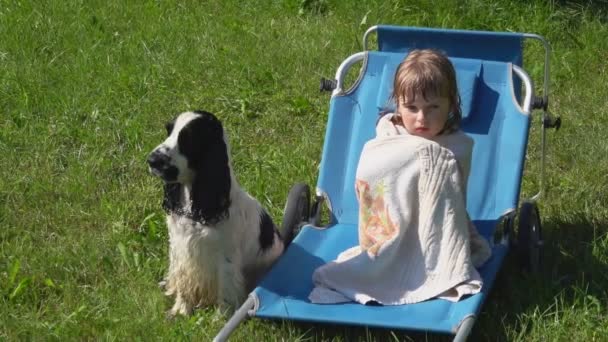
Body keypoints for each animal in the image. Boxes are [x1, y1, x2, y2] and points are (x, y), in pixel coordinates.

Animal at [149, 110, 288, 316]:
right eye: (169, 130)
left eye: (188, 137)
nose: (152, 160)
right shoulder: (180, 249)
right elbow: (183, 284)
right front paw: (180, 311)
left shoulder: (225, 259)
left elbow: (226, 294)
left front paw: (220, 318)